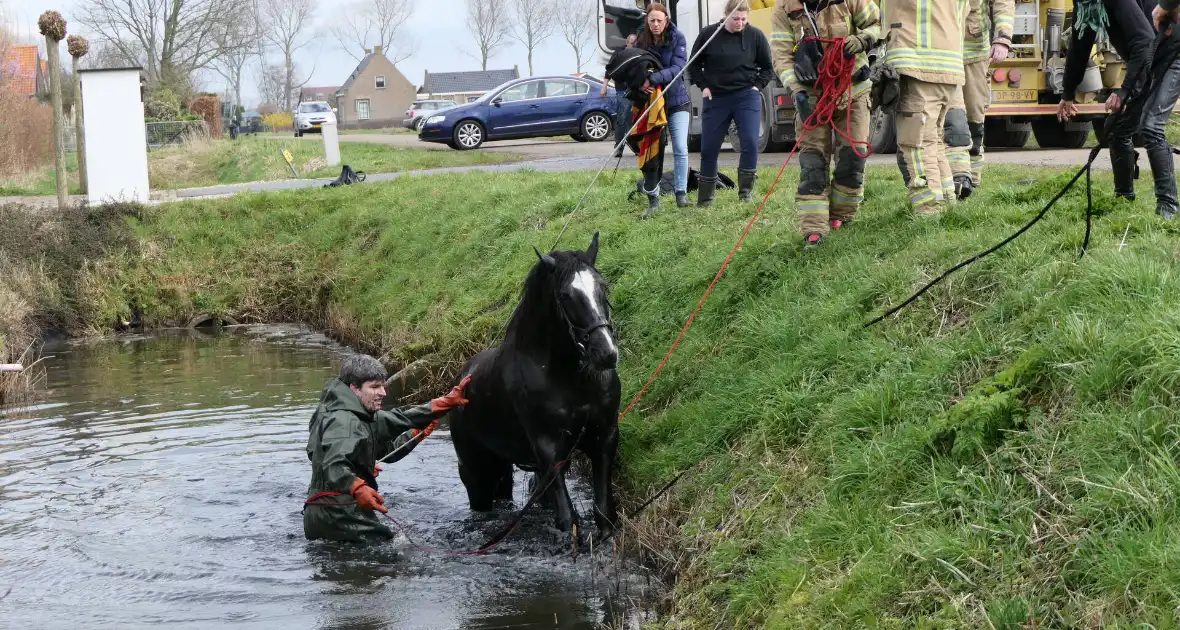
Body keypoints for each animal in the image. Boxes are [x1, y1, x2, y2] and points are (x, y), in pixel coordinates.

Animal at [446, 232, 623, 537]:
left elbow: (604, 514)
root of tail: (460, 384)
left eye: (603, 286)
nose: (606, 354)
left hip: (503, 470)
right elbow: (568, 520)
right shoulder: (549, 450)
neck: (568, 379)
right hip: (476, 473)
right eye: (566, 295)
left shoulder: (604, 438)